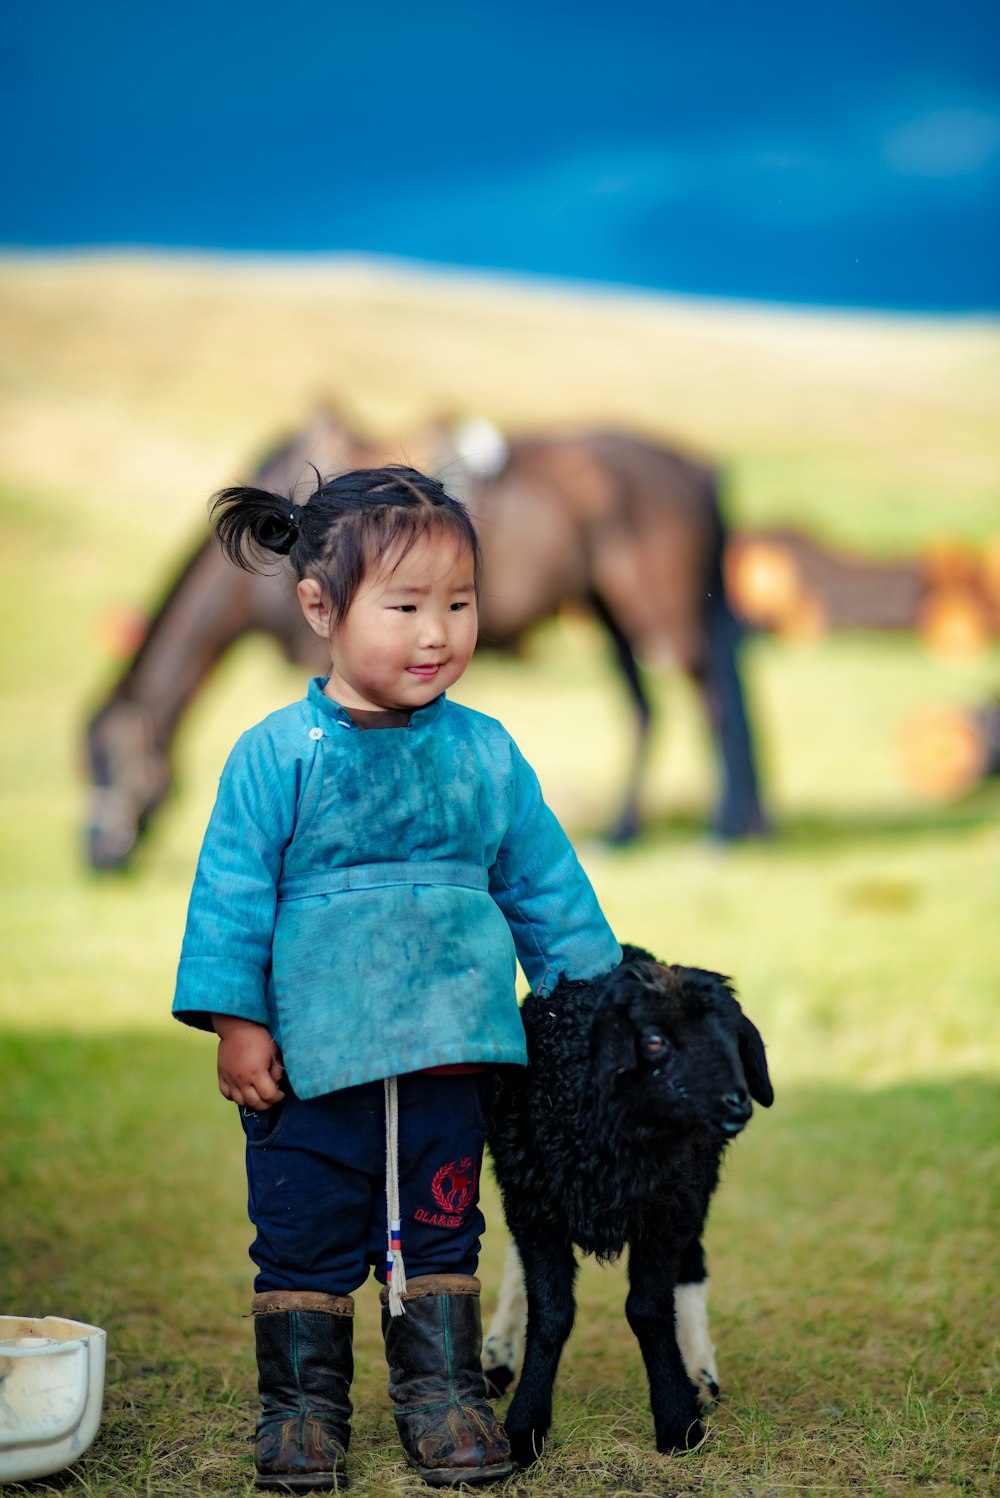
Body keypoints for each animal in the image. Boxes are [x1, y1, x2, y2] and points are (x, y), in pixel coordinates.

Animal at [83, 410, 766, 874]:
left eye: (106, 763)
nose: (96, 856)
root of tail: (697, 468)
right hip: (607, 611)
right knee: (648, 707)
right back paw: (630, 832)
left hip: (663, 612)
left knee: (716, 703)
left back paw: (721, 832)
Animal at [485, 946, 772, 1462]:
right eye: (653, 1041)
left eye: (733, 1038)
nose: (737, 1104)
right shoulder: (537, 1209)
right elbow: (551, 1313)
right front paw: (523, 1429)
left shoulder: (667, 1212)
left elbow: (649, 1309)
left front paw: (679, 1422)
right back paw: (497, 1356)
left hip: (694, 1189)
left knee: (692, 1266)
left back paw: (700, 1373)